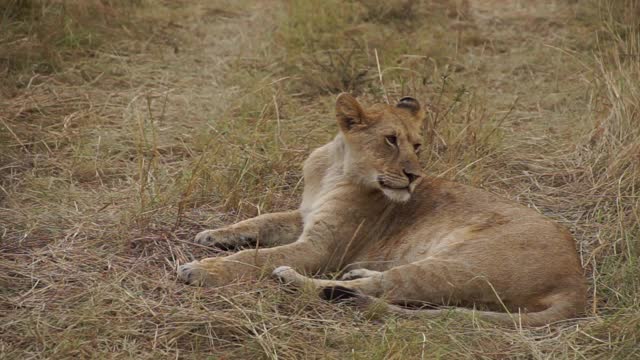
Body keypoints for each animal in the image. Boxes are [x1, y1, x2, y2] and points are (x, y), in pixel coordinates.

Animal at [178, 93, 588, 326]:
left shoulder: (320, 249)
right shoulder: (306, 215)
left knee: (385, 289)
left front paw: (202, 269)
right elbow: (262, 220)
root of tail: (577, 281)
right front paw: (212, 235)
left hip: (460, 264)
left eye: (417, 145)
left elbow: (256, 258)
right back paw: (354, 273)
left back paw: (296, 280)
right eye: (390, 140)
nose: (414, 176)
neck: (335, 168)